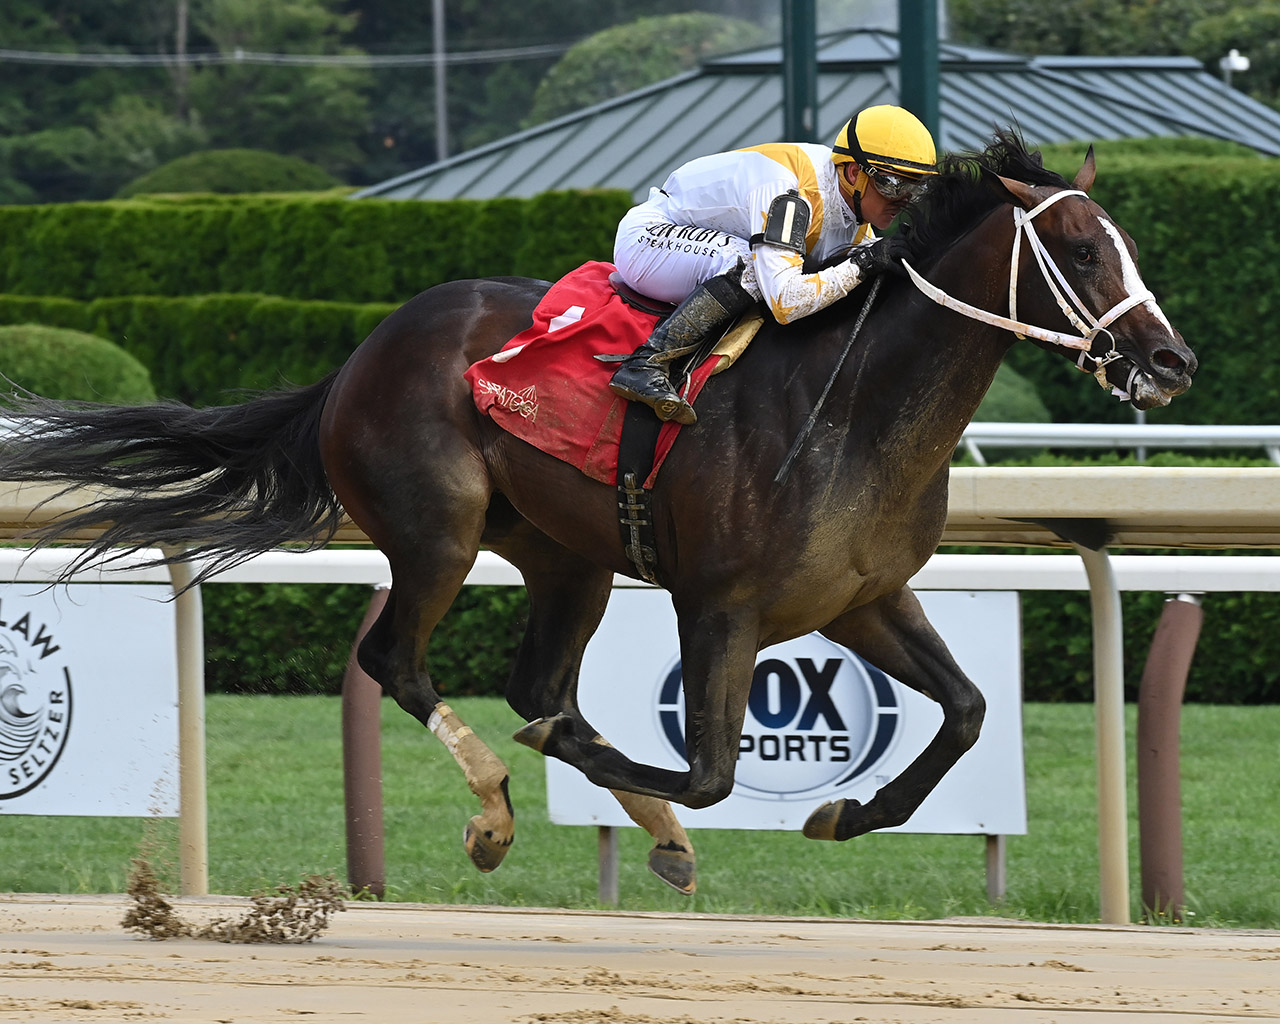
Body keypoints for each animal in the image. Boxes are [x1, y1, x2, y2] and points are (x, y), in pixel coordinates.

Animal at [5, 131, 1192, 890]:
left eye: (1128, 245)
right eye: (1081, 250)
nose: (1171, 360)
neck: (849, 405)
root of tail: (362, 352)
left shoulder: (862, 597)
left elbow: (968, 712)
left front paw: (846, 810)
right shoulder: (720, 606)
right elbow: (709, 769)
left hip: (565, 557)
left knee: (539, 682)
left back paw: (622, 814)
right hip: (435, 529)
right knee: (396, 660)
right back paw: (496, 808)